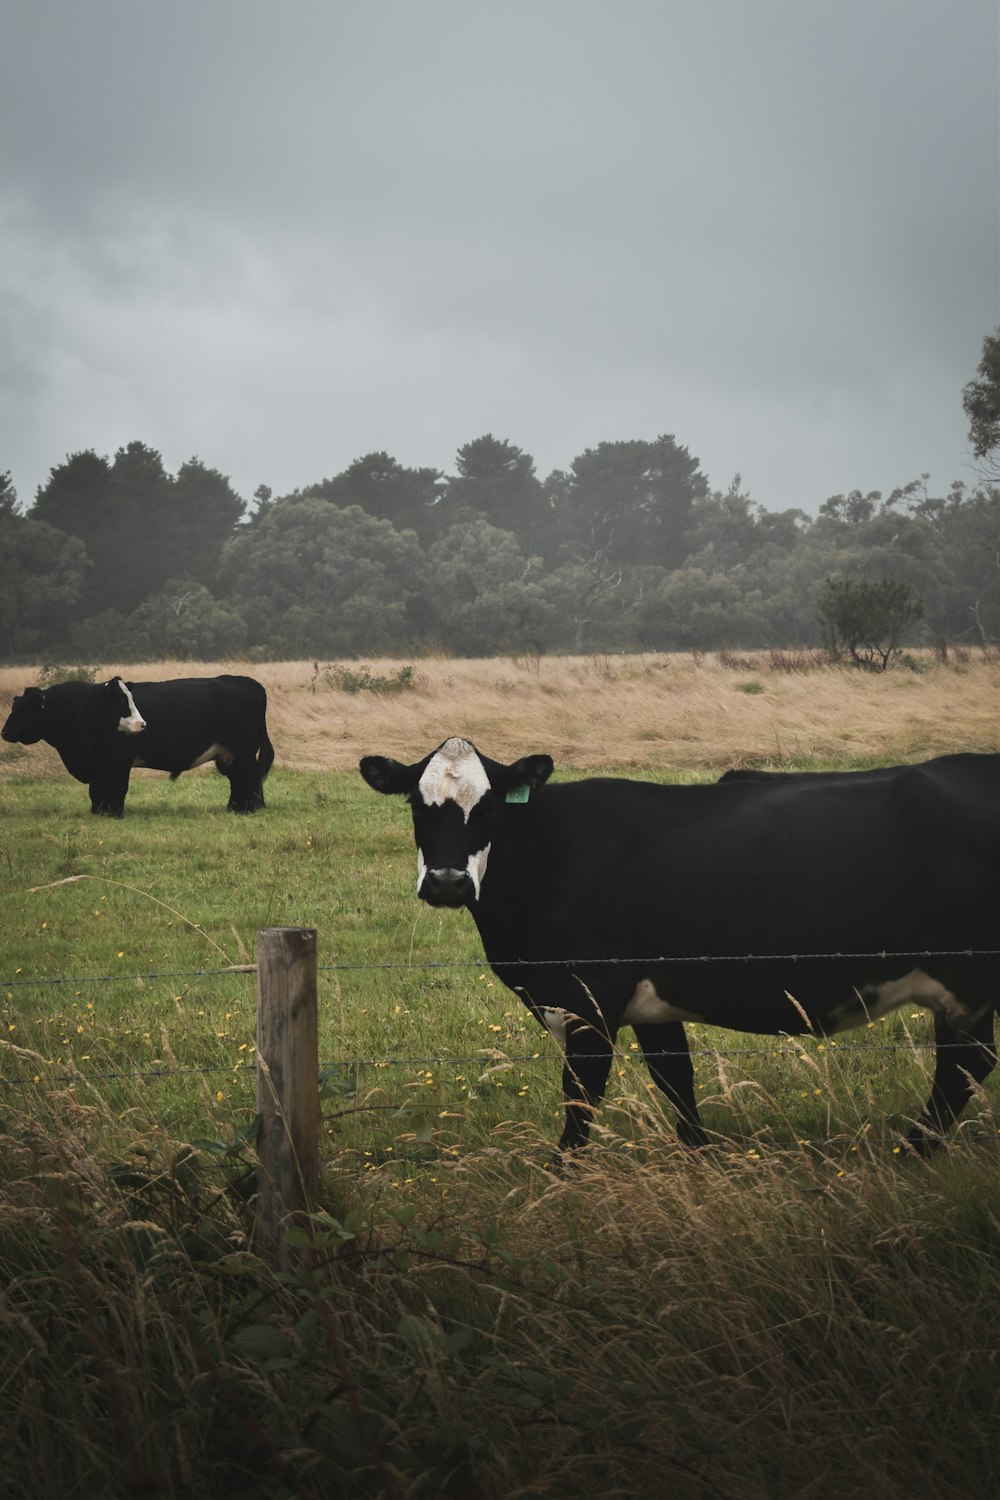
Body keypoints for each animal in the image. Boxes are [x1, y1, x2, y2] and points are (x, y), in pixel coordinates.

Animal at [1, 675, 275, 816]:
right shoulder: (98, 763)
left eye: (25, 710)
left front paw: (116, 814)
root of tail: (249, 682)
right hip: (229, 754)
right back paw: (234, 808)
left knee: (250, 777)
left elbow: (117, 788)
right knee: (238, 779)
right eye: (15, 707)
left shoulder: (121, 759)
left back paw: (250, 809)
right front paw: (98, 812)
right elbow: (96, 790)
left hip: (244, 750)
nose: (4, 732)